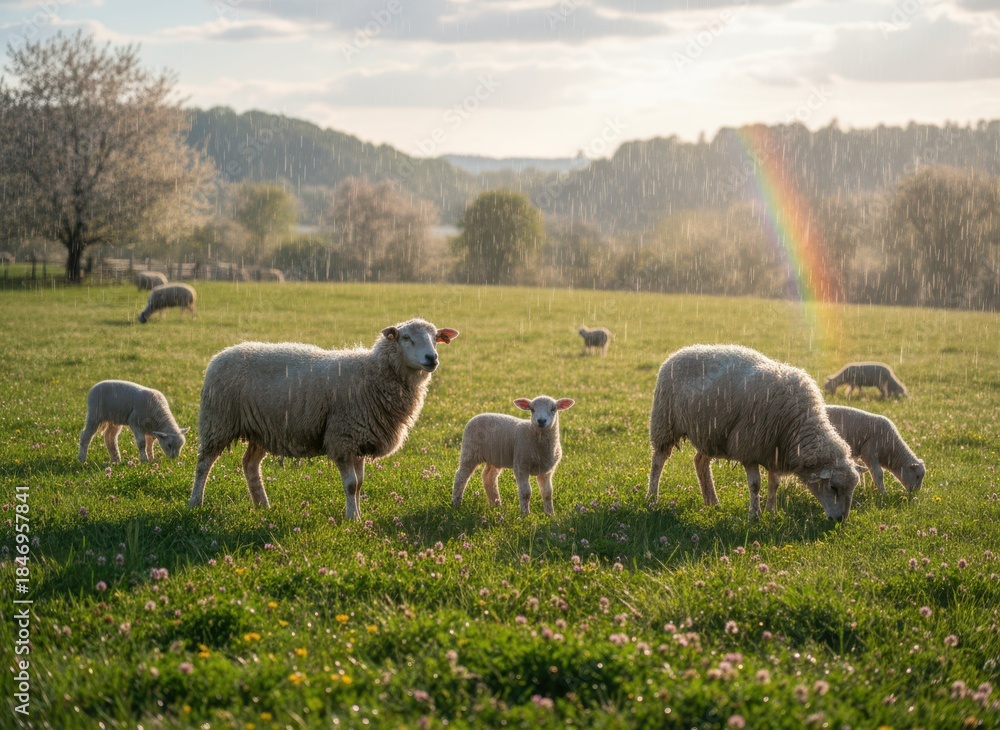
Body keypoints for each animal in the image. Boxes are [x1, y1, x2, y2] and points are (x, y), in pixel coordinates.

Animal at [188, 318, 459, 519]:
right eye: (406, 338)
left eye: (435, 338)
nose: (432, 358)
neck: (373, 373)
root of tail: (219, 355)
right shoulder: (342, 437)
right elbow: (351, 485)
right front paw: (352, 518)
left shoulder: (360, 438)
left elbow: (360, 484)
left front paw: (358, 515)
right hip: (217, 421)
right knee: (204, 464)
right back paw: (195, 503)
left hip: (261, 429)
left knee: (250, 465)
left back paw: (262, 505)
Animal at [647, 344, 863, 521]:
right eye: (833, 487)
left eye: (852, 488)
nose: (840, 520)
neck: (797, 423)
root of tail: (679, 352)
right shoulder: (749, 446)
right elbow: (755, 484)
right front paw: (754, 515)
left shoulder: (775, 451)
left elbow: (774, 484)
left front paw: (771, 512)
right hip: (664, 421)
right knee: (658, 461)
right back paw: (651, 498)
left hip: (711, 433)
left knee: (700, 462)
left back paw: (712, 502)